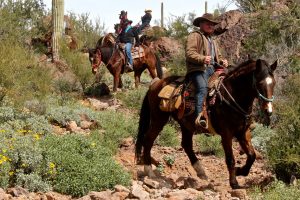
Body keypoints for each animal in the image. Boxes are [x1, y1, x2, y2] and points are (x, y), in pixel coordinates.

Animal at [135, 58, 278, 188]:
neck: (231, 96)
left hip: (186, 124)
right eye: (260, 83)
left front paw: (240, 171)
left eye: (274, 83)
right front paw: (234, 183)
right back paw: (149, 171)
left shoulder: (243, 132)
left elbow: (252, 155)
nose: (269, 110)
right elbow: (230, 159)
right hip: (159, 119)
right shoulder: (227, 134)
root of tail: (155, 84)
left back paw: (201, 171)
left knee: (186, 145)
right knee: (148, 139)